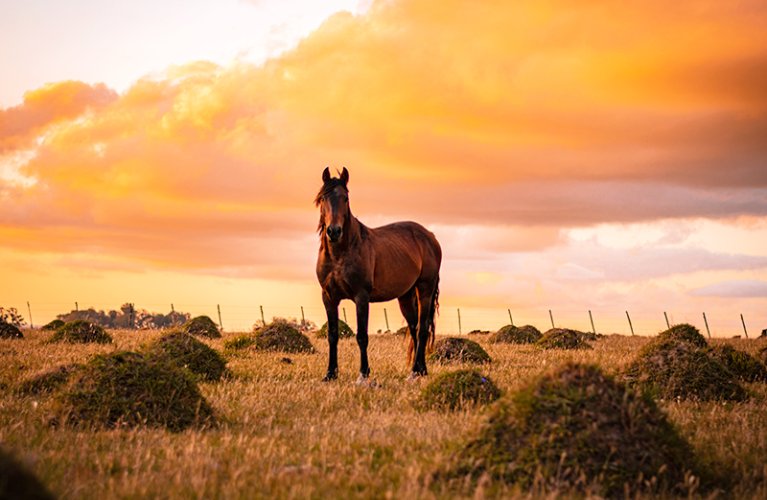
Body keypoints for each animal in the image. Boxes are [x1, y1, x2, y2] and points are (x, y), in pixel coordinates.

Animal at [314, 166, 444, 380]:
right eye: (323, 198)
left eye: (345, 198)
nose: (334, 231)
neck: (340, 254)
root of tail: (430, 236)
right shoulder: (329, 297)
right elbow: (332, 335)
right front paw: (330, 374)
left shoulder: (361, 297)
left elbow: (362, 336)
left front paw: (364, 373)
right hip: (405, 296)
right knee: (414, 328)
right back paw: (419, 370)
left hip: (425, 289)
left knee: (423, 328)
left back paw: (417, 371)